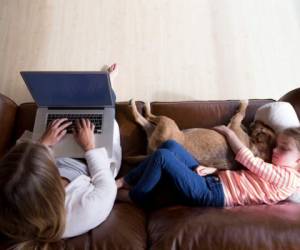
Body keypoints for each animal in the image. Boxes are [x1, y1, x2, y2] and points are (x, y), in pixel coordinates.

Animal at [125, 99, 276, 170]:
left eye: (263, 128)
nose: (256, 121)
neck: (253, 146)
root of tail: (154, 152)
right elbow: (241, 114)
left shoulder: (234, 124)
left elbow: (241, 113)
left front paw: (244, 103)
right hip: (158, 126)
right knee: (143, 119)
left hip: (167, 122)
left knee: (144, 116)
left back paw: (138, 105)